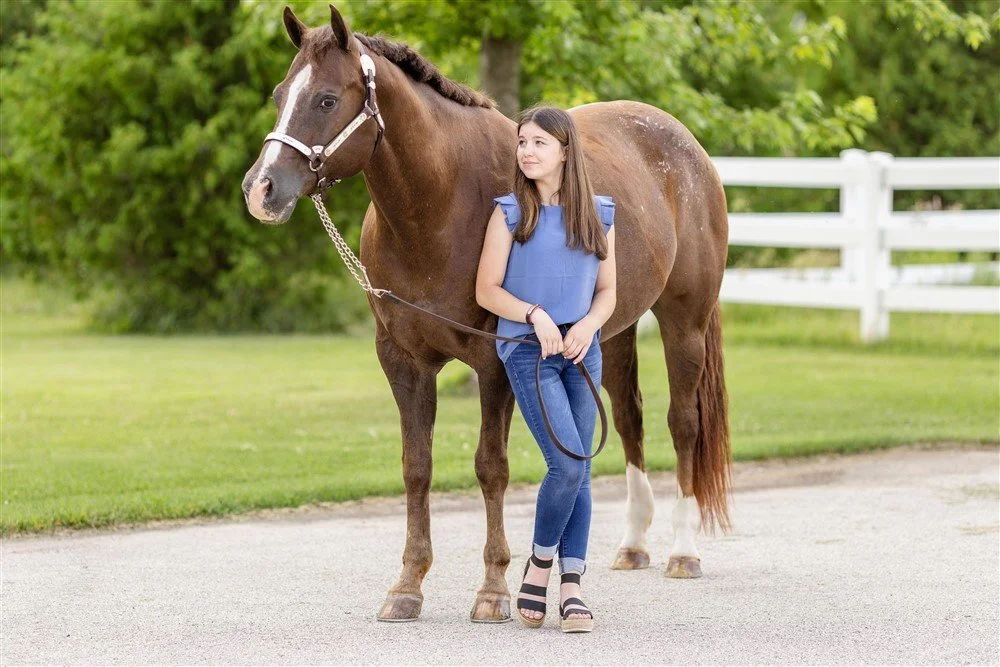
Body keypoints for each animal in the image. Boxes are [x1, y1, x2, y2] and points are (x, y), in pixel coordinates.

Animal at [241, 3, 728, 628]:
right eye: (280, 94)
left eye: (326, 99)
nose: (260, 189)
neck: (439, 204)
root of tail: (686, 144)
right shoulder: (402, 360)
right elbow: (416, 466)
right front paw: (407, 586)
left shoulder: (497, 361)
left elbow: (490, 466)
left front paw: (494, 589)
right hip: (612, 331)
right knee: (629, 420)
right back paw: (632, 544)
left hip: (684, 320)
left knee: (682, 422)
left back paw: (683, 552)